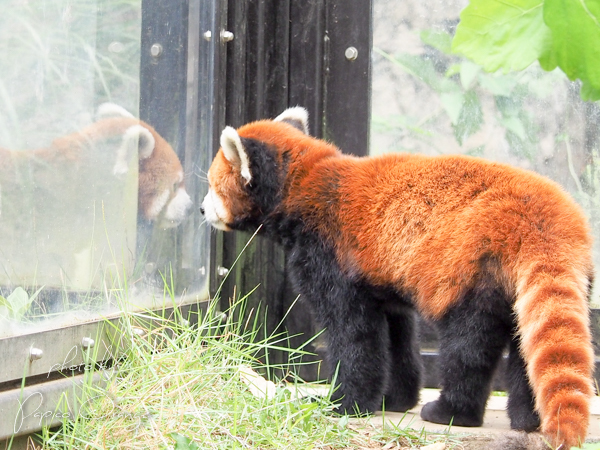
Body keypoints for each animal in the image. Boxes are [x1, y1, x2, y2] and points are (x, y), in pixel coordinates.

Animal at [204, 107, 596, 448]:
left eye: (212, 185)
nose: (202, 209)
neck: (304, 186)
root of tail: (544, 223)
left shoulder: (331, 257)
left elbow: (354, 336)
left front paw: (343, 402)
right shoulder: (381, 280)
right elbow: (397, 337)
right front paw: (396, 399)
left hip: (471, 270)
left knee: (470, 345)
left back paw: (451, 412)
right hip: (522, 284)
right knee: (525, 345)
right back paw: (529, 420)